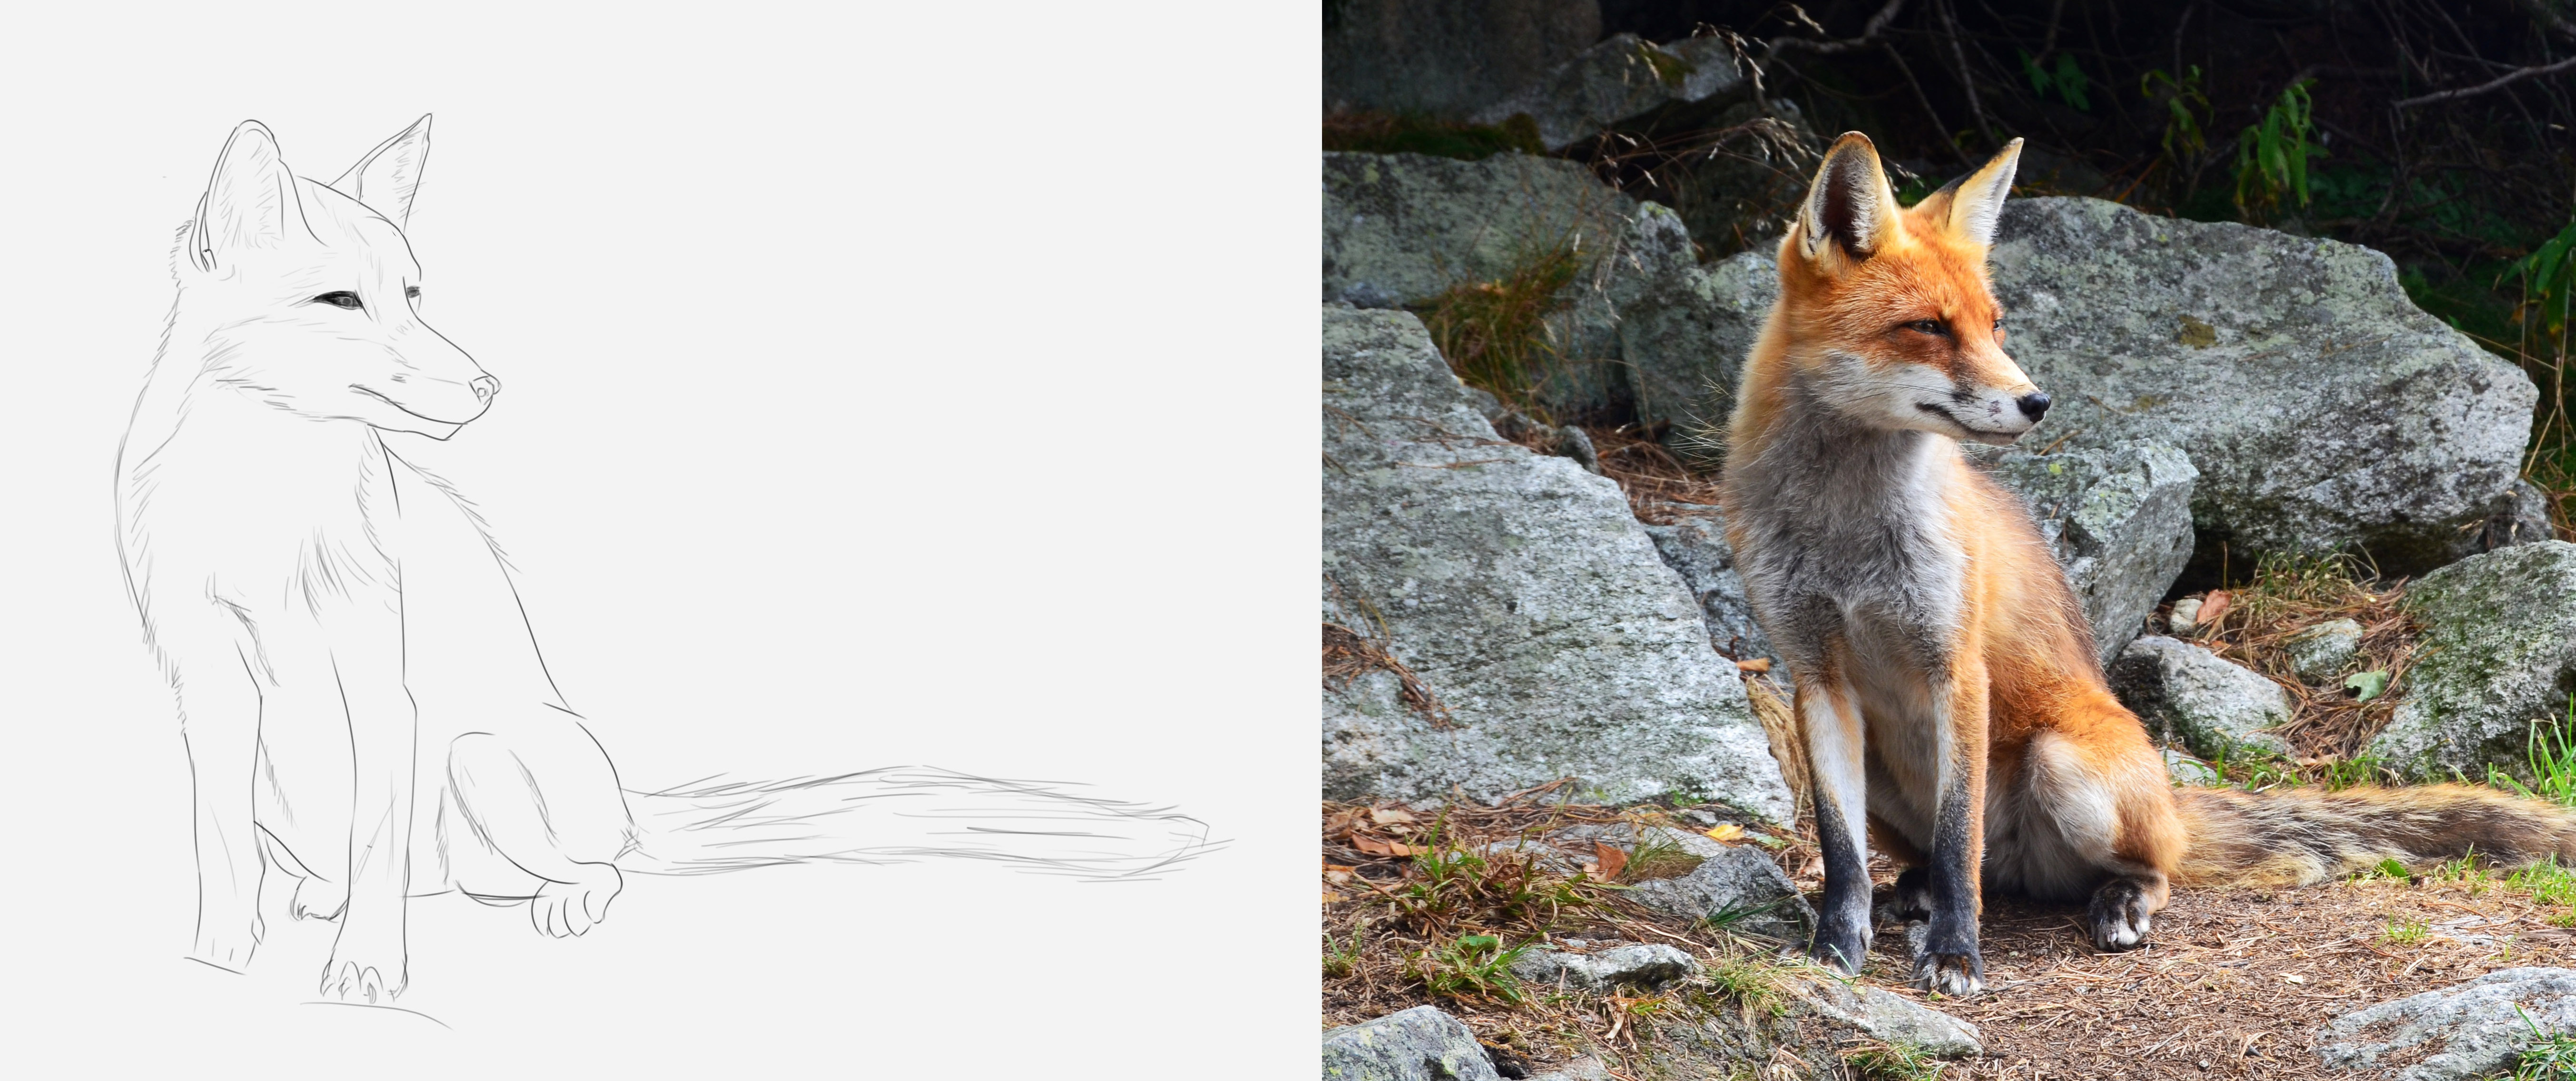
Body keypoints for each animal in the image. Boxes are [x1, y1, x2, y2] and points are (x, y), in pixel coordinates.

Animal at [116, 117, 1210, 1004]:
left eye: (415, 295)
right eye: (340, 299)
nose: (488, 384)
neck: (257, 500)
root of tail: (627, 809)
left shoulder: (380, 677)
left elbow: (377, 853)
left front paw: (366, 973)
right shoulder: (205, 683)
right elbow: (222, 859)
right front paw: (216, 964)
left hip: (479, 762)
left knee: (582, 873)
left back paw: (555, 901)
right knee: (374, 872)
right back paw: (316, 893)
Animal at [1718, 131, 2576, 997]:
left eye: (1995, 326)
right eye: (1927, 326)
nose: (2037, 402)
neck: (1845, 534)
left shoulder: (1954, 668)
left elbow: (1960, 839)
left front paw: (1957, 953)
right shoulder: (1815, 676)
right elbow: (1842, 853)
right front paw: (1835, 949)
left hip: (2066, 766)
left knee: (2122, 868)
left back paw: (2116, 902)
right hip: (1891, 778)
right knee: (1961, 864)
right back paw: (1916, 891)